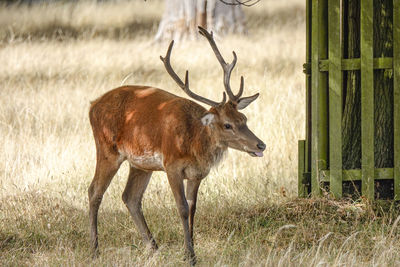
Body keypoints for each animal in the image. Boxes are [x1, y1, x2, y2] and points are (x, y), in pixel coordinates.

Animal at [89, 26, 268, 264]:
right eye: (227, 125)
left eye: (244, 118)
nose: (260, 145)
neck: (194, 144)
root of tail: (92, 106)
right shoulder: (171, 165)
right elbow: (182, 208)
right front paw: (190, 255)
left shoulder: (197, 174)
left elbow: (193, 208)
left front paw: (191, 252)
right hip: (107, 148)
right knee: (94, 191)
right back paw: (94, 250)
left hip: (140, 163)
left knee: (130, 197)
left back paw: (154, 248)